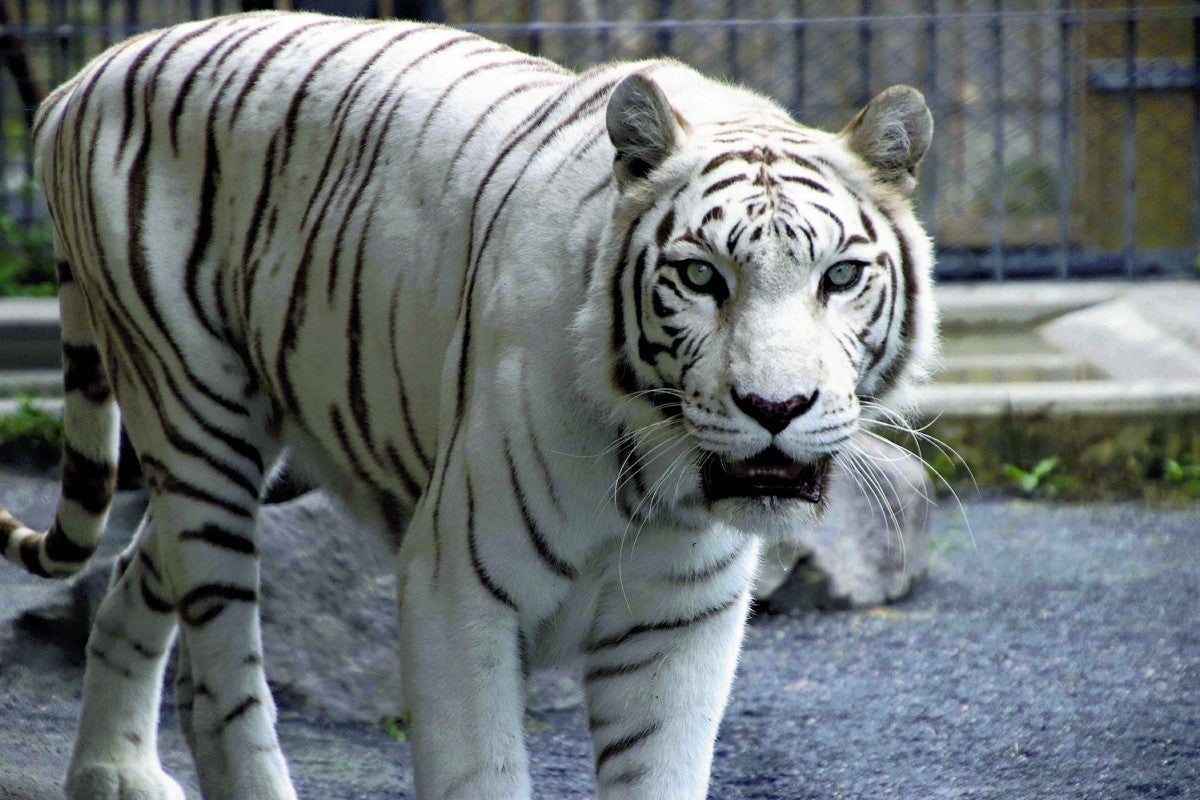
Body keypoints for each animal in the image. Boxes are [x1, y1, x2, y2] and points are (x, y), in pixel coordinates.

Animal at [0, 10, 936, 800]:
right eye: (702, 276)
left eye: (840, 275)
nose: (776, 405)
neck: (655, 478)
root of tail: (81, 79)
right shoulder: (458, 585)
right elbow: (477, 769)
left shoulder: (680, 621)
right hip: (195, 418)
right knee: (222, 679)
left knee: (131, 581)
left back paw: (114, 773)